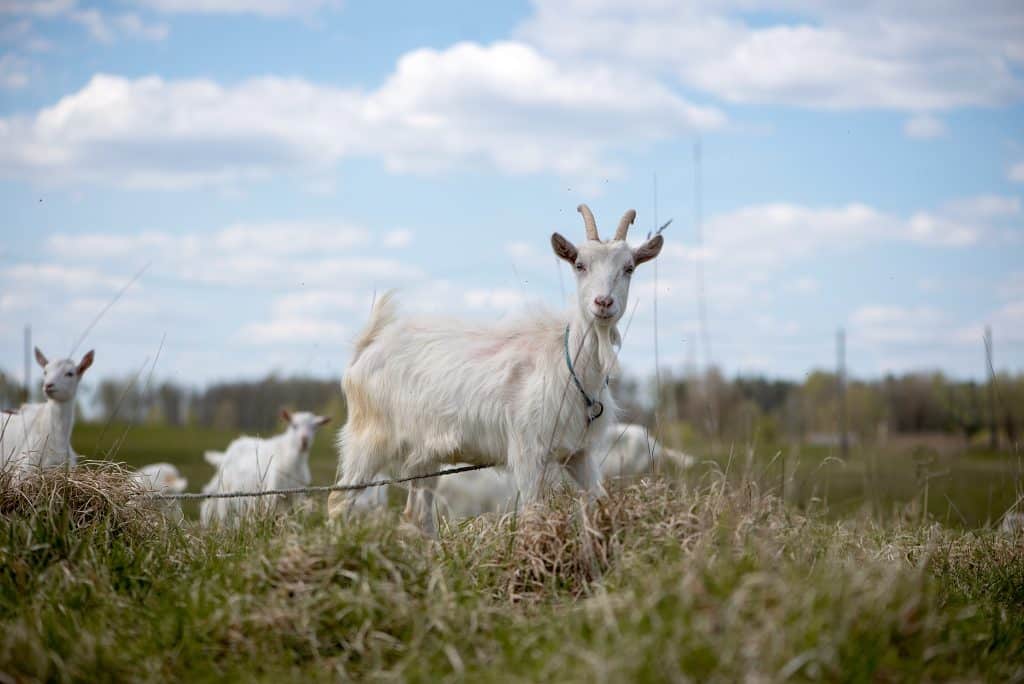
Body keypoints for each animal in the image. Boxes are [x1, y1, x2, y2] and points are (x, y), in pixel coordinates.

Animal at [200, 410, 329, 525]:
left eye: (314, 427)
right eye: (294, 426)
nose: (304, 440)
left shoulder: (297, 495)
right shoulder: (272, 493)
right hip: (224, 496)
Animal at [327, 205, 663, 534]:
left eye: (629, 267)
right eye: (580, 264)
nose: (603, 303)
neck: (570, 362)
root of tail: (368, 346)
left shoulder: (578, 453)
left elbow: (599, 500)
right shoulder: (528, 452)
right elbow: (532, 514)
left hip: (424, 451)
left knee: (417, 515)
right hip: (369, 438)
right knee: (338, 501)